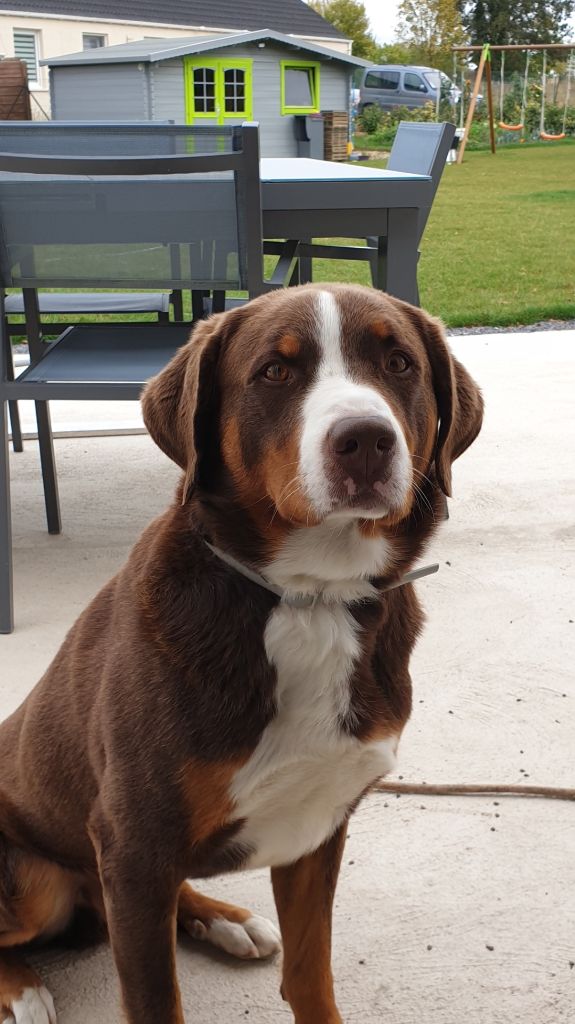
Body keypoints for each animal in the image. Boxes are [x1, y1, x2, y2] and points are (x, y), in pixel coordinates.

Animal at [0, 284, 483, 1024]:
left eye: (398, 362)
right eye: (274, 371)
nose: (365, 441)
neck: (313, 598)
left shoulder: (315, 826)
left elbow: (311, 972)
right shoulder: (136, 838)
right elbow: (156, 1000)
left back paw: (222, 918)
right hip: (35, 876)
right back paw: (23, 988)